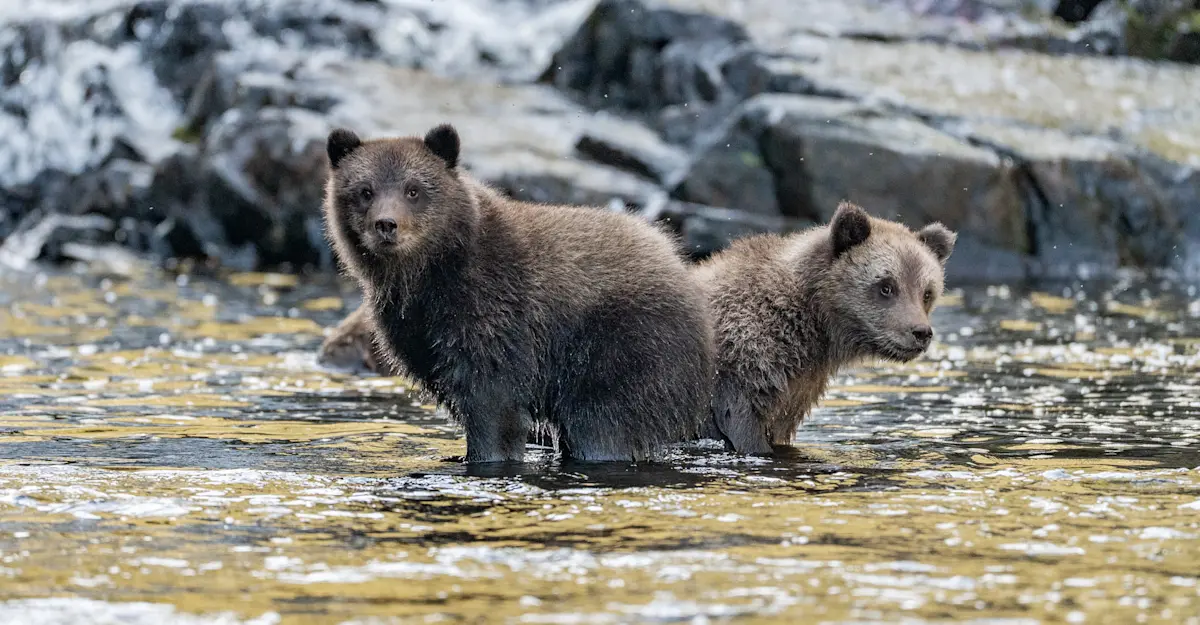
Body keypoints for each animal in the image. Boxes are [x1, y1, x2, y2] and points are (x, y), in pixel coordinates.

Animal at [322, 123, 715, 463]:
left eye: (413, 189)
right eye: (365, 191)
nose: (386, 225)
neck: (429, 275)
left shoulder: (494, 313)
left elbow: (494, 403)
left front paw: (482, 454)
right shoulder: (416, 332)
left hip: (621, 347)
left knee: (603, 424)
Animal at [695, 201, 956, 455]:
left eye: (927, 292)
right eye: (886, 286)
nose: (921, 332)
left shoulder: (796, 391)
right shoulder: (745, 363)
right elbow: (741, 424)